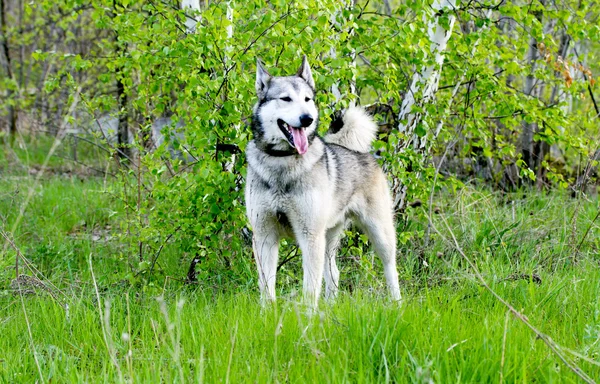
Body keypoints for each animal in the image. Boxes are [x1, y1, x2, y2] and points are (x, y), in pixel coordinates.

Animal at [246, 56, 400, 306]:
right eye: (286, 98)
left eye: (307, 99)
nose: (307, 119)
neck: (282, 162)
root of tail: (360, 152)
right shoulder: (264, 236)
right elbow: (267, 289)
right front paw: (267, 313)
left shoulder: (310, 235)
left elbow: (310, 289)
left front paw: (308, 315)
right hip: (329, 236)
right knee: (333, 272)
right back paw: (329, 307)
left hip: (379, 232)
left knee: (391, 268)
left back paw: (397, 304)